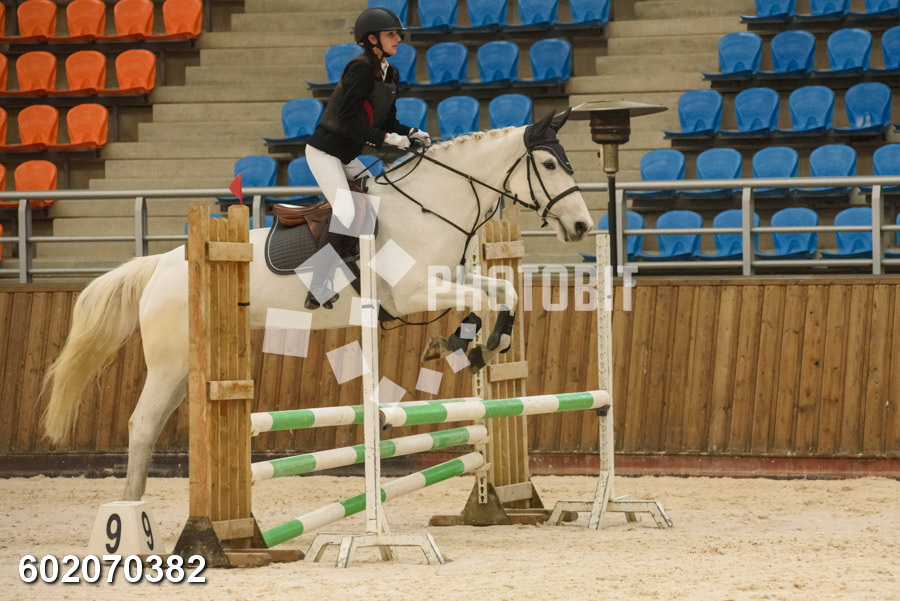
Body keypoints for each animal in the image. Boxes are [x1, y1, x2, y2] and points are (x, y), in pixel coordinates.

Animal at [41, 110, 594, 502]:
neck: (431, 205)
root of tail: (160, 263)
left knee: (153, 424)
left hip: (183, 368)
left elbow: (503, 293)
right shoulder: (414, 292)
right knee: (140, 425)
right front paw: (473, 346)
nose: (583, 226)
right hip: (169, 361)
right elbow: (482, 299)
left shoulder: (448, 278)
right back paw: (131, 516)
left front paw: (473, 343)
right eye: (548, 164)